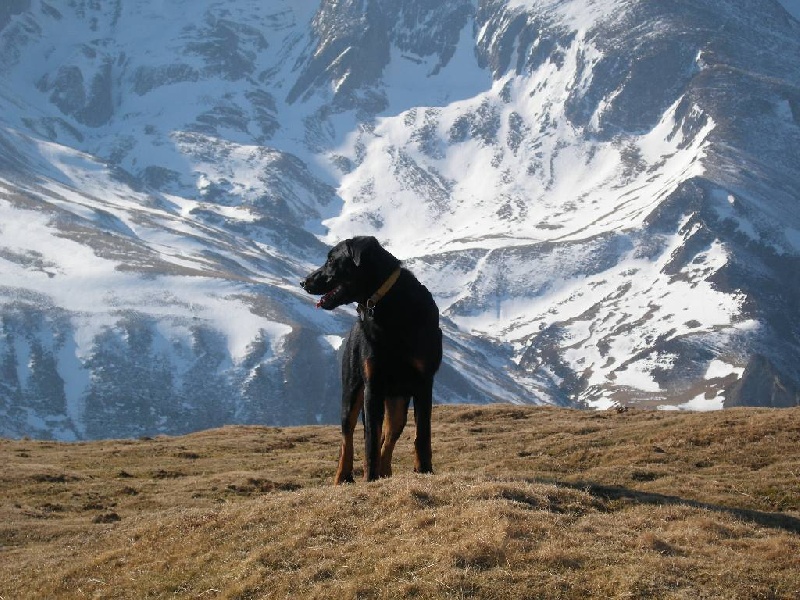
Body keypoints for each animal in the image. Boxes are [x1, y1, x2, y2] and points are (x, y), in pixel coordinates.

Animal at [300, 234, 440, 482]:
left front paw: (424, 470)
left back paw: (384, 473)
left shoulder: (424, 383)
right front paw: (370, 478)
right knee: (347, 438)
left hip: (398, 400)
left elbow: (421, 435)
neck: (388, 305)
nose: (304, 282)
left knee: (389, 437)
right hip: (352, 390)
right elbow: (370, 441)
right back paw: (344, 477)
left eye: (331, 260)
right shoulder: (372, 385)